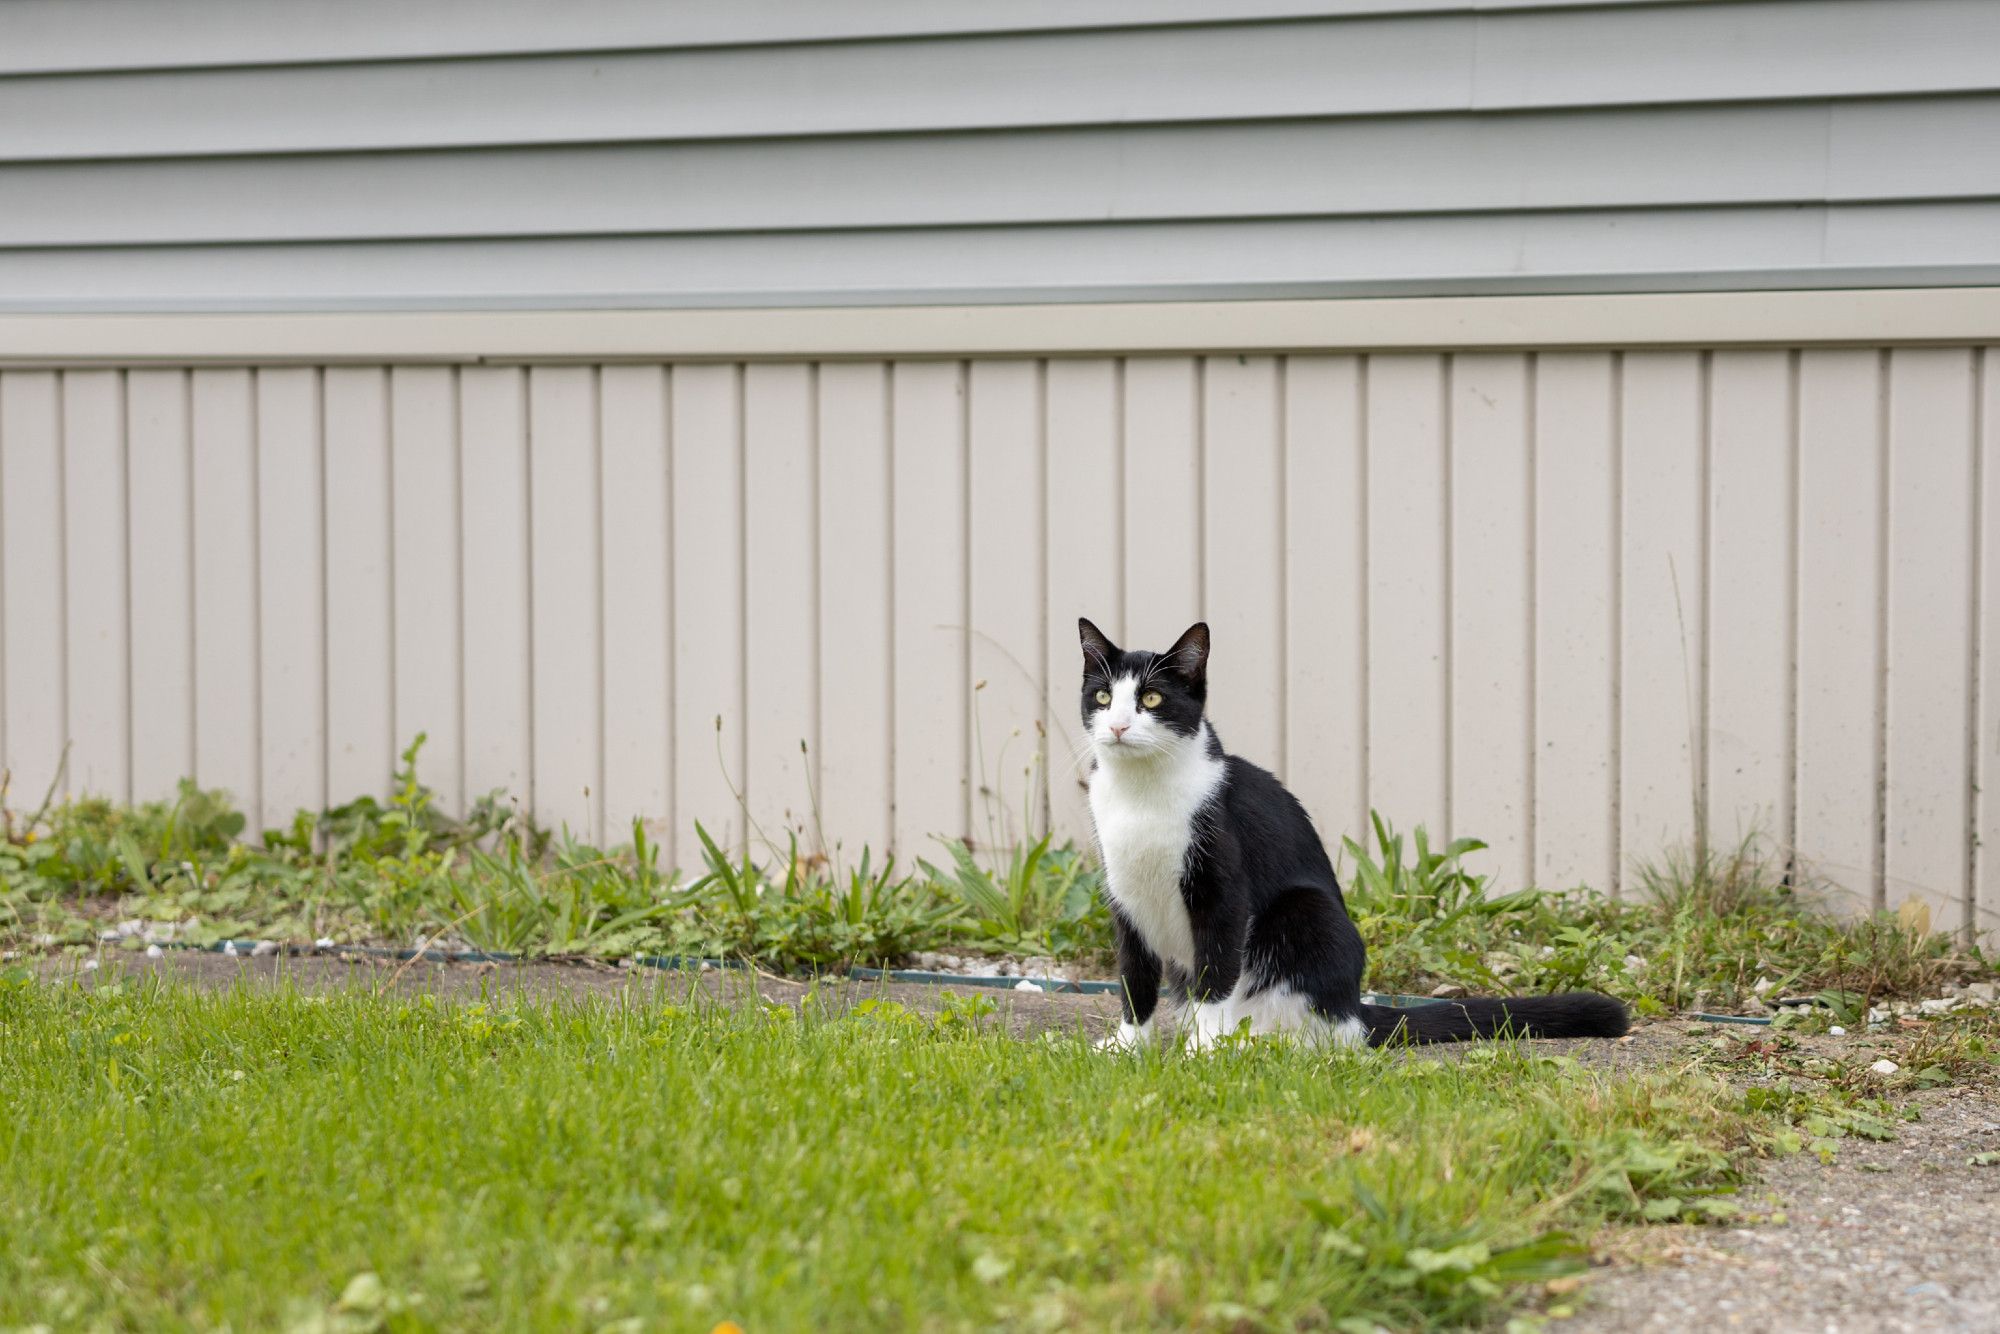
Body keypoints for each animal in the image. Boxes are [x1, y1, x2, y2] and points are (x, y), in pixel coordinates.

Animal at [1080, 620, 1624, 1048]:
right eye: (1103, 696)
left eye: (1151, 698)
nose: (1119, 726)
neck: (1141, 795)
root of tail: (1355, 1008)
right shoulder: (1125, 896)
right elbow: (1134, 977)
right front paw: (1129, 1046)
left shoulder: (1223, 892)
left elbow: (1217, 975)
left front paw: (1204, 1051)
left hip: (1307, 913)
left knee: (1313, 1027)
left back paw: (1257, 1044)